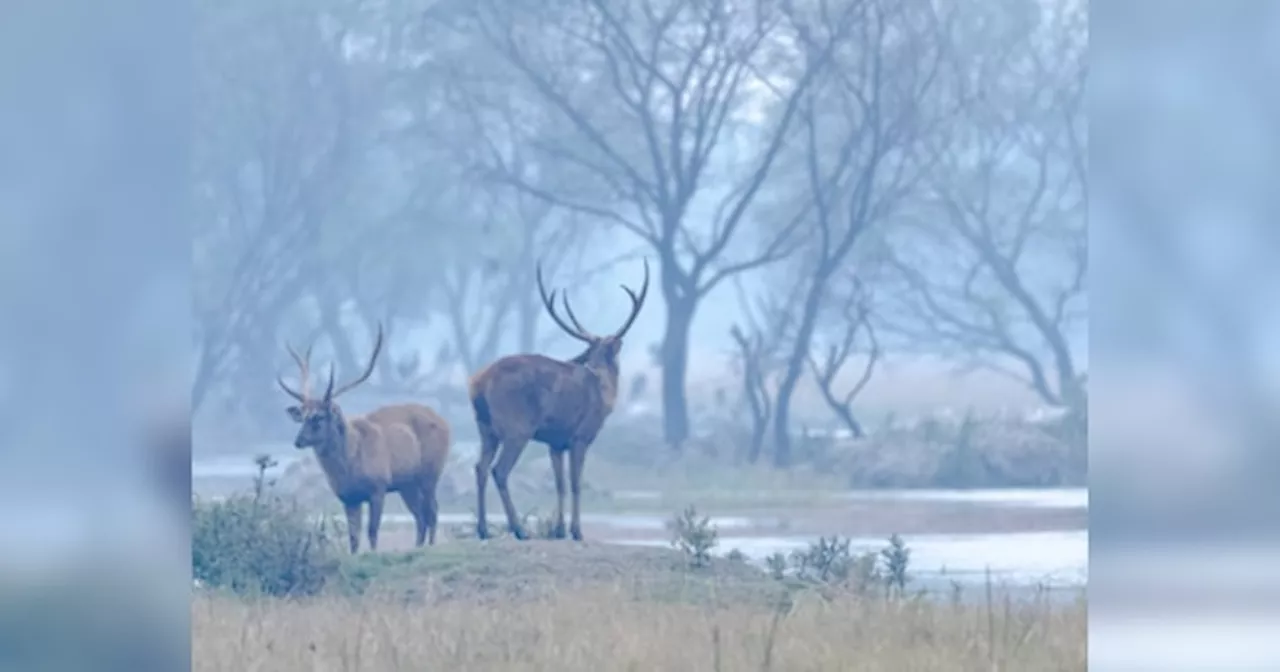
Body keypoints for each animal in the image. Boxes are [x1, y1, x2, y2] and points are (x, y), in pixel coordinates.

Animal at [273, 322, 450, 552]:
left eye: (319, 417)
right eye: (302, 416)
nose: (298, 441)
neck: (350, 466)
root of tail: (445, 422)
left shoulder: (379, 486)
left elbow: (372, 531)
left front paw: (374, 553)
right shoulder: (348, 497)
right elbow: (353, 538)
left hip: (431, 472)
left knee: (432, 512)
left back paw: (430, 546)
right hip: (407, 484)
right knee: (420, 516)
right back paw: (418, 546)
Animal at [465, 257, 650, 540]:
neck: (604, 388)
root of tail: (478, 383)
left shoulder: (556, 442)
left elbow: (559, 484)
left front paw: (559, 529)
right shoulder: (580, 436)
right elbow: (575, 483)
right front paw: (576, 531)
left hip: (486, 429)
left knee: (480, 468)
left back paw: (484, 530)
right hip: (517, 428)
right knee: (500, 470)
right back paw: (519, 530)